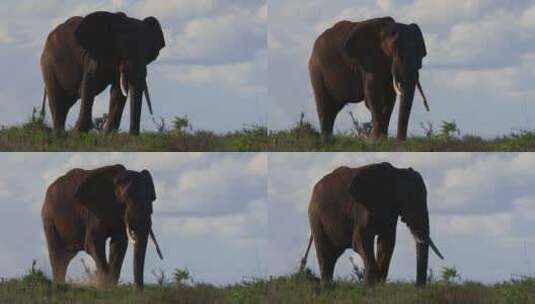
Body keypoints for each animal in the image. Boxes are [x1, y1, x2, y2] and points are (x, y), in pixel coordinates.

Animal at [302, 163, 444, 286]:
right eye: (410, 200)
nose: (418, 286)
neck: (396, 173)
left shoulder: (390, 211)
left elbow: (386, 242)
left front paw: (377, 285)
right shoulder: (362, 207)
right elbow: (360, 240)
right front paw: (369, 286)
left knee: (333, 256)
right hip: (315, 217)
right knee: (325, 254)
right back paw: (326, 286)